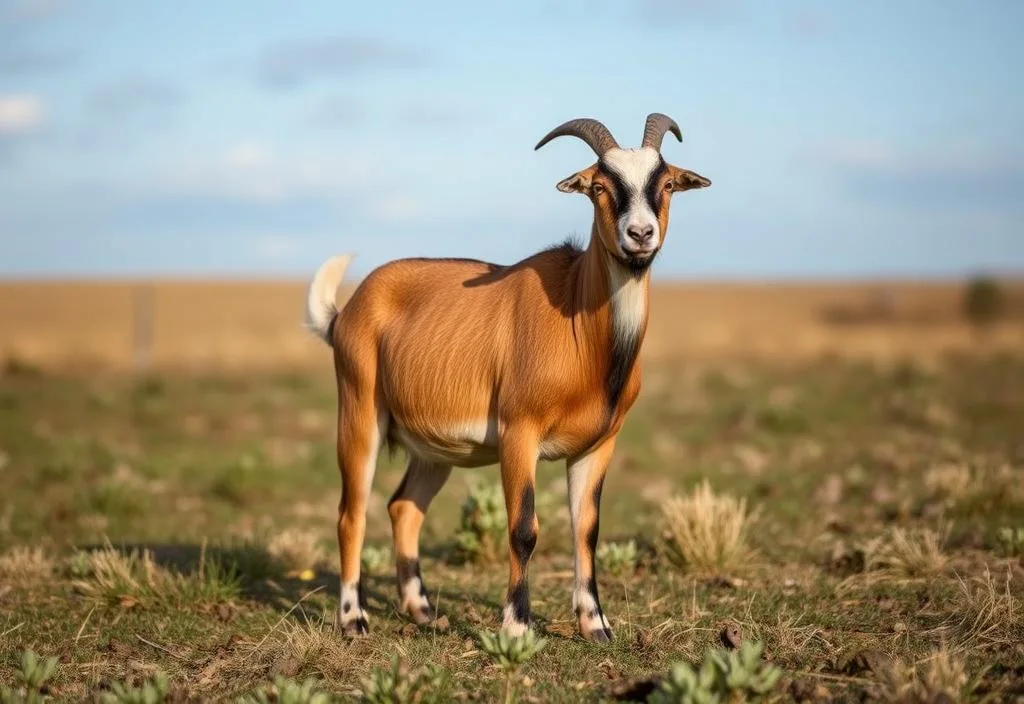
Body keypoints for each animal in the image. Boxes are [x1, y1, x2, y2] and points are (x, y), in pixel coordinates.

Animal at [299, 111, 708, 642]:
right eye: (599, 185)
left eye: (667, 183)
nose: (640, 235)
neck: (578, 320)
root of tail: (345, 312)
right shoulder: (519, 435)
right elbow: (523, 528)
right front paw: (516, 626)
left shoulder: (597, 446)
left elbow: (586, 529)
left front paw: (596, 625)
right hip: (360, 420)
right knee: (351, 514)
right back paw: (354, 618)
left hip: (433, 452)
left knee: (404, 507)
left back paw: (422, 610)